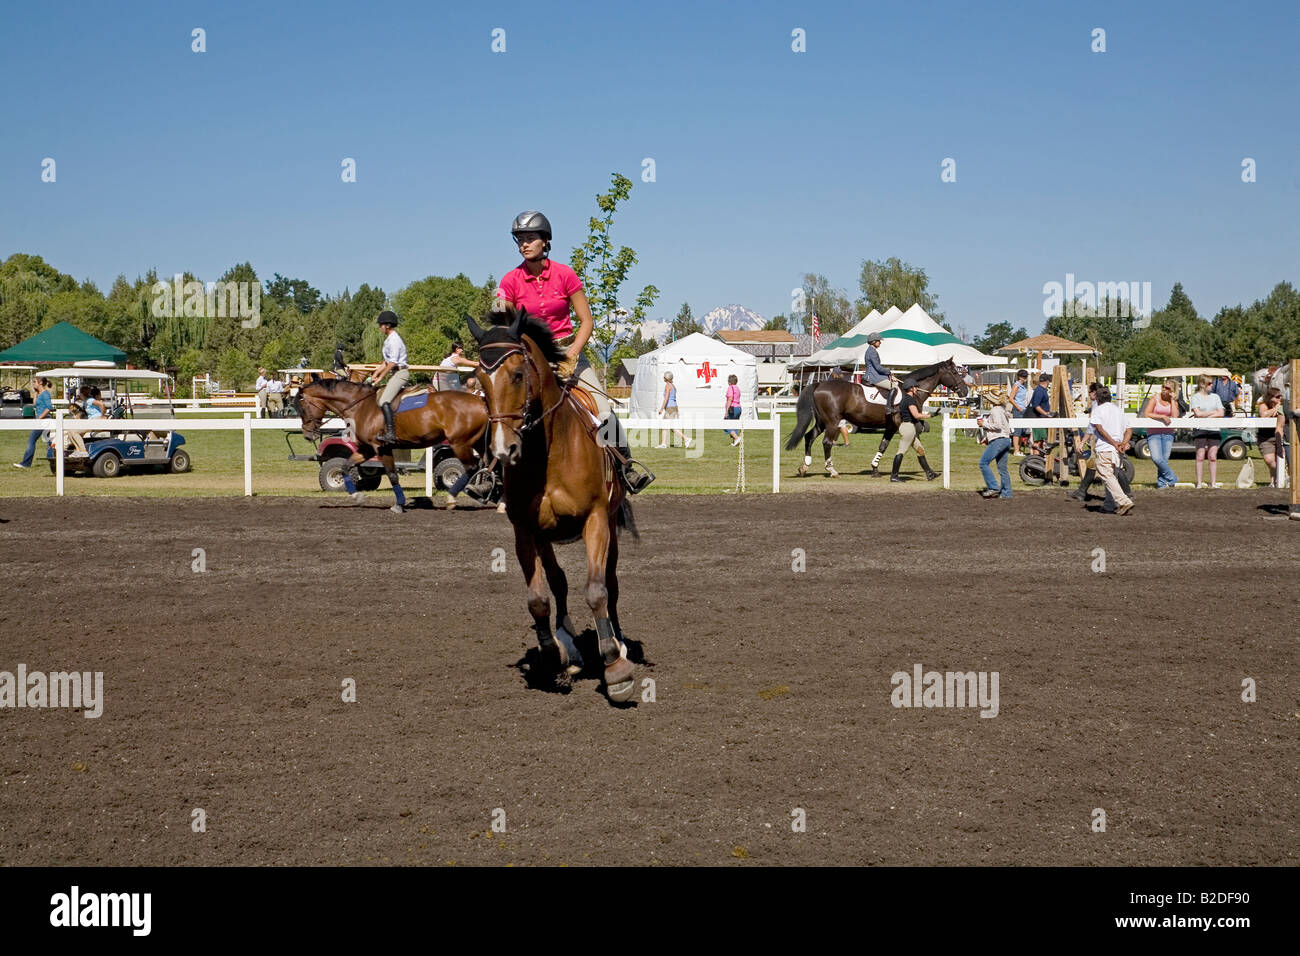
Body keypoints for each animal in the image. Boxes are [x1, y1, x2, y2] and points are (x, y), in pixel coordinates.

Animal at [295, 374, 488, 515]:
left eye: (302, 408)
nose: (307, 435)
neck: (361, 406)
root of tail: (480, 401)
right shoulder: (366, 449)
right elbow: (345, 466)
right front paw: (357, 496)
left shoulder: (381, 448)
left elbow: (392, 475)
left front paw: (399, 504)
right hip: (477, 442)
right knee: (485, 465)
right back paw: (485, 494)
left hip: (460, 443)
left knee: (472, 466)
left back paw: (455, 497)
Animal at [467, 303, 639, 707]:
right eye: (479, 379)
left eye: (517, 375)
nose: (504, 450)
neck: (550, 453)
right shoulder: (525, 530)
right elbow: (539, 599)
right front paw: (553, 656)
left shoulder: (596, 520)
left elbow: (597, 590)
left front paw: (615, 667)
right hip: (547, 538)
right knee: (558, 583)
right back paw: (568, 645)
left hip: (611, 525)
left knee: (611, 582)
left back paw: (617, 642)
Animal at [780, 358, 977, 478]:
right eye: (955, 373)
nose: (965, 391)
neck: (910, 391)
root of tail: (820, 384)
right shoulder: (907, 424)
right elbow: (916, 445)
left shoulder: (891, 427)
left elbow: (883, 445)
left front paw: (875, 469)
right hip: (832, 423)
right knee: (826, 443)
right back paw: (832, 470)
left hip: (823, 422)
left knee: (809, 437)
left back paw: (805, 467)